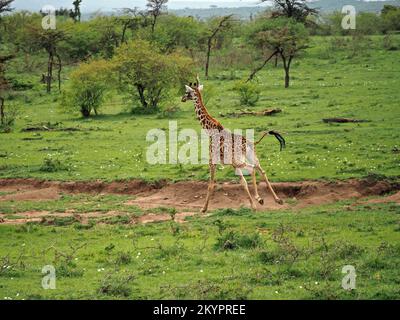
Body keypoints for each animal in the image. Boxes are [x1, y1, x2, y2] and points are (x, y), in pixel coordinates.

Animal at [181, 77, 284, 212]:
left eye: (187, 92)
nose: (182, 98)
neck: (210, 130)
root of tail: (250, 142)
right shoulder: (231, 164)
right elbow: (242, 182)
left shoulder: (212, 161)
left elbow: (211, 184)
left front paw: (203, 209)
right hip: (251, 157)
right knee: (261, 170)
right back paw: (275, 200)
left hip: (239, 160)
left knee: (251, 169)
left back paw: (257, 200)